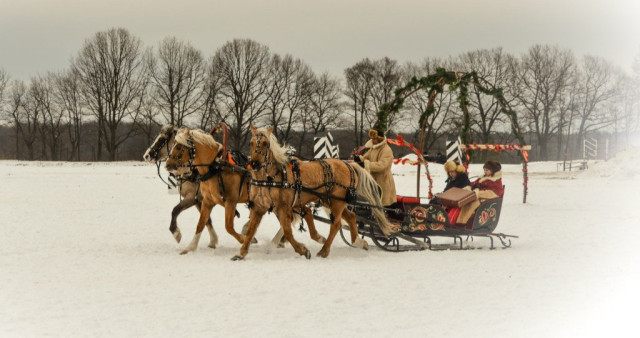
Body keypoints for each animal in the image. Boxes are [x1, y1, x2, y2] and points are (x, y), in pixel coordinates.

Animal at [165, 128, 328, 255]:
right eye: (172, 145)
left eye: (179, 147)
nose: (167, 165)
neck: (215, 168)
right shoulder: (207, 201)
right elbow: (201, 224)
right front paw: (190, 247)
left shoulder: (230, 201)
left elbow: (229, 227)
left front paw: (245, 239)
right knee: (303, 213)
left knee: (292, 218)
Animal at [230, 125, 390, 260]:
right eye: (251, 143)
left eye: (265, 143)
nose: (254, 164)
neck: (272, 177)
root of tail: (348, 165)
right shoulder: (259, 207)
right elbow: (251, 230)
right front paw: (241, 253)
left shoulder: (283, 207)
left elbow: (287, 231)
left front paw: (302, 250)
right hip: (331, 201)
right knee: (351, 217)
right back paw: (358, 242)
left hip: (337, 202)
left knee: (336, 224)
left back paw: (324, 251)